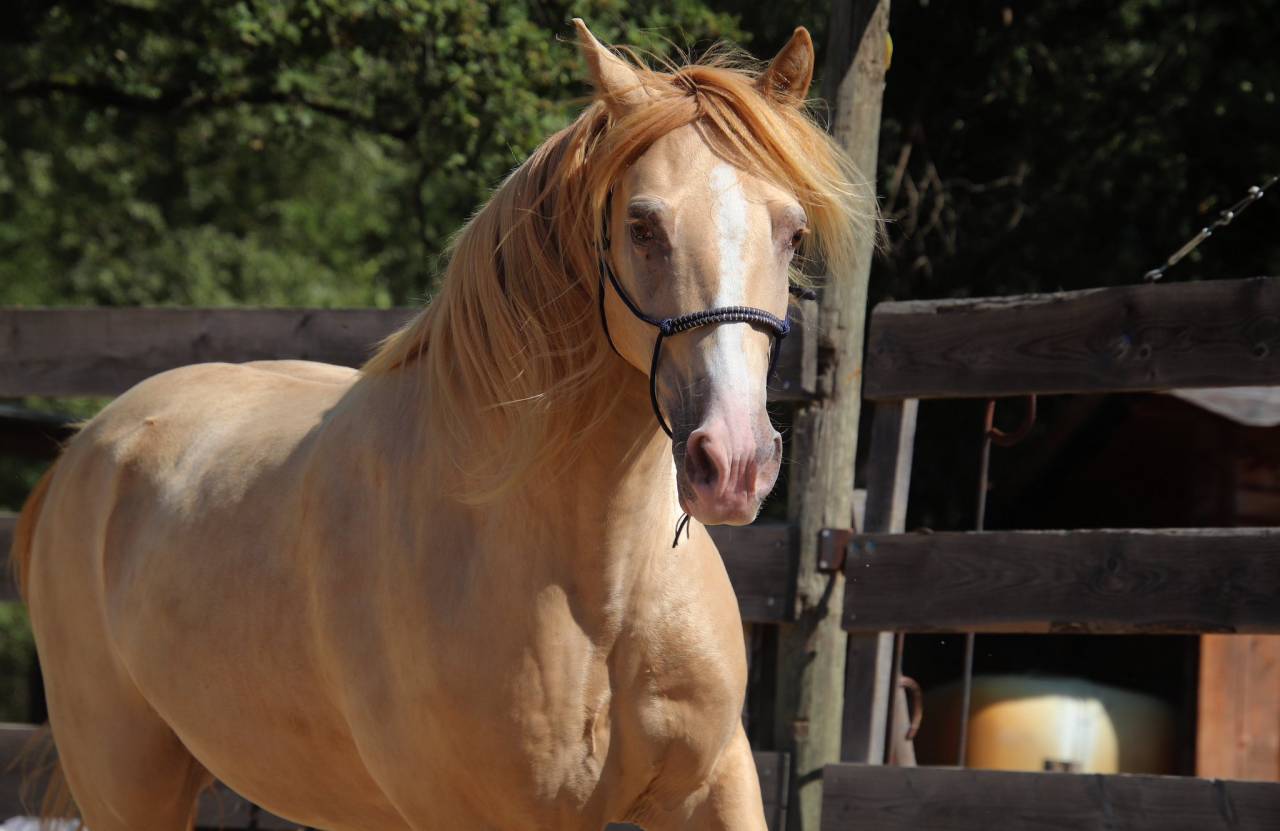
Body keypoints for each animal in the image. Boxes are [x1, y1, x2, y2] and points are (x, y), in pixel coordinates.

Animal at [12, 20, 870, 830]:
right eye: (642, 226)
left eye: (792, 231)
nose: (734, 461)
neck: (599, 587)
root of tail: (90, 446)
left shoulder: (713, 787)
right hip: (128, 786)